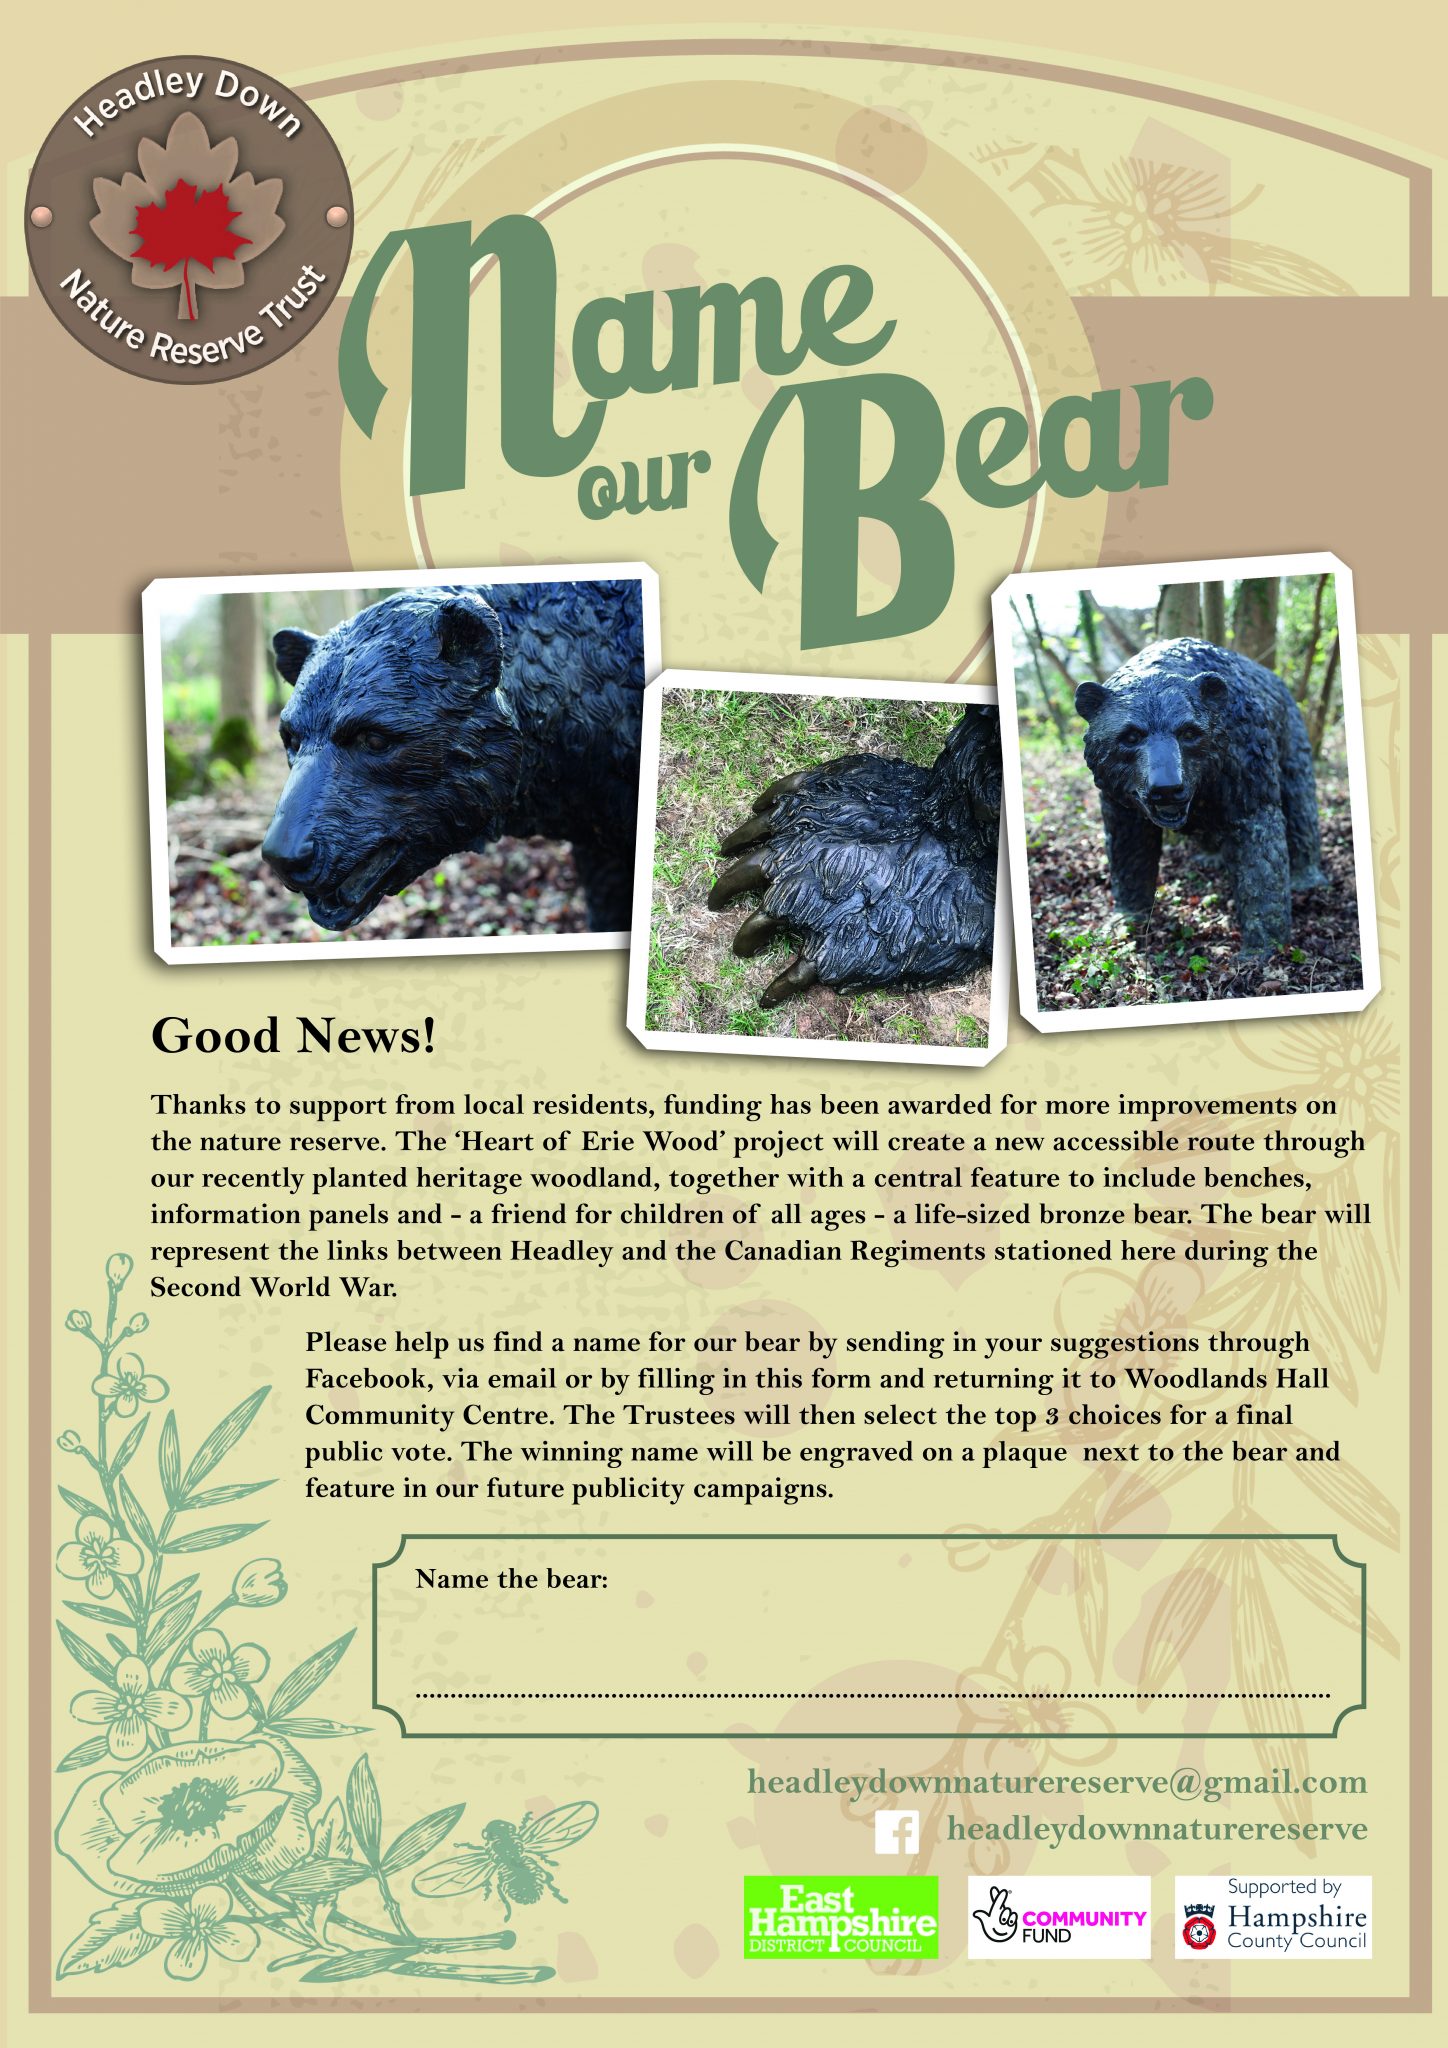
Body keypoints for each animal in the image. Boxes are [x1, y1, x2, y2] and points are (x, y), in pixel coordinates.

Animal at [1073, 637, 1327, 958]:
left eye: (1189, 732)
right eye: (1130, 736)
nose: (1167, 787)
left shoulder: (1246, 765)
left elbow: (1260, 849)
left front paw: (1263, 946)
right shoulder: (1119, 800)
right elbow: (1128, 851)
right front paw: (1128, 915)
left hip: (1291, 739)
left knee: (1299, 798)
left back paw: (1307, 878)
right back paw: (1210, 857)